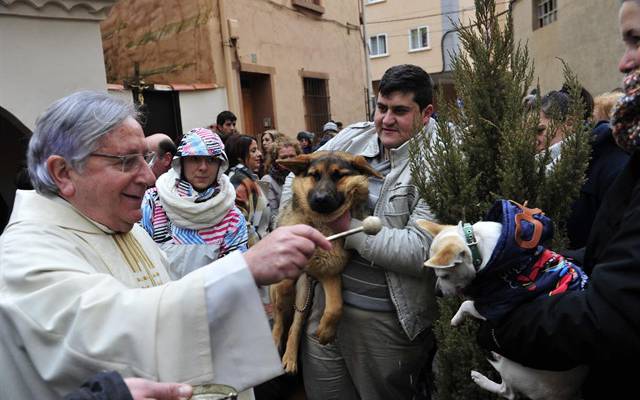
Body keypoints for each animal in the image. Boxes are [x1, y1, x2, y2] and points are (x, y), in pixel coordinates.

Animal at [270, 152, 380, 374]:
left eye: (339, 176)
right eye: (315, 175)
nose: (320, 199)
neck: (322, 226)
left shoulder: (329, 272)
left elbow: (336, 305)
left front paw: (326, 332)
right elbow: (283, 292)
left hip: (304, 292)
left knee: (295, 325)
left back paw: (290, 357)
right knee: (279, 315)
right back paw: (276, 339)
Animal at [418, 202, 588, 400]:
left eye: (444, 275)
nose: (437, 292)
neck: (478, 246)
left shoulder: (494, 307)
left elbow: (467, 304)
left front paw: (456, 318)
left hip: (512, 368)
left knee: (508, 392)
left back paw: (481, 377)